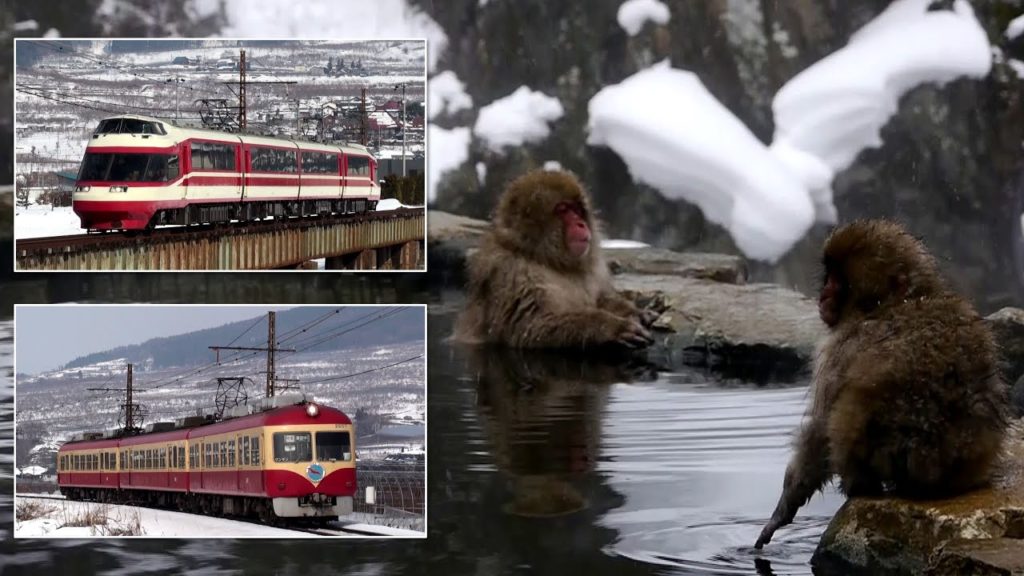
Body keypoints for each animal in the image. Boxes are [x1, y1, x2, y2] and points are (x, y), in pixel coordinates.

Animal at [454, 169, 655, 349]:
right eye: (563, 209)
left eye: (577, 209)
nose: (581, 224)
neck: (547, 259)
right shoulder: (511, 272)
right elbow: (532, 326)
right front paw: (612, 327)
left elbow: (600, 299)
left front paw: (634, 312)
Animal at [754, 220, 1008, 549]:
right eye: (828, 275)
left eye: (837, 280)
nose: (824, 295)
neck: (895, 302)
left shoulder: (838, 348)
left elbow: (819, 430)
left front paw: (783, 510)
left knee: (840, 420)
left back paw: (859, 486)